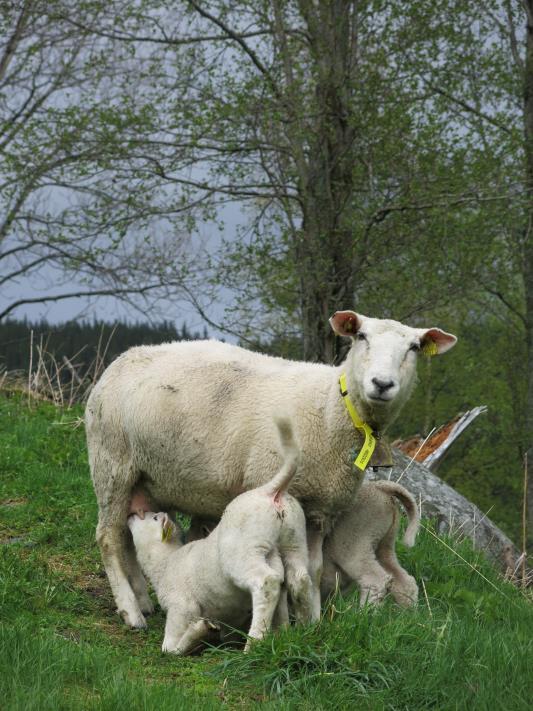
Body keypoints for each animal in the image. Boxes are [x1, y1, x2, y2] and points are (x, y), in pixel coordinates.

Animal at [128, 418, 312, 656]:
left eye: (155, 518)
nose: (132, 514)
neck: (165, 563)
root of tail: (270, 491)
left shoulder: (182, 606)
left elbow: (169, 648)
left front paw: (197, 634)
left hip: (244, 552)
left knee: (267, 582)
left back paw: (254, 645)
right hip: (292, 539)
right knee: (297, 580)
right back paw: (301, 630)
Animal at [320, 478, 420, 608]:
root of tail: (380, 487)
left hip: (353, 542)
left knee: (376, 580)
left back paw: (365, 610)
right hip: (385, 543)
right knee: (404, 580)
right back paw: (407, 610)